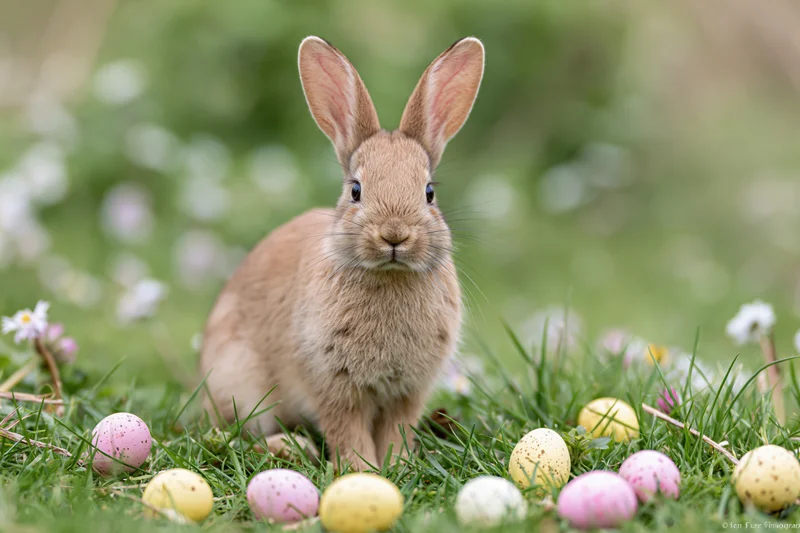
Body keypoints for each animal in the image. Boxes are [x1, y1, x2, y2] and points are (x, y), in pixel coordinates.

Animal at [200, 35, 484, 471]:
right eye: (355, 190)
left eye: (429, 193)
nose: (394, 235)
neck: (388, 275)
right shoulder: (331, 382)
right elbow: (346, 429)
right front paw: (360, 469)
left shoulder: (408, 391)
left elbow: (397, 428)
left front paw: (397, 465)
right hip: (239, 382)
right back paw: (289, 447)